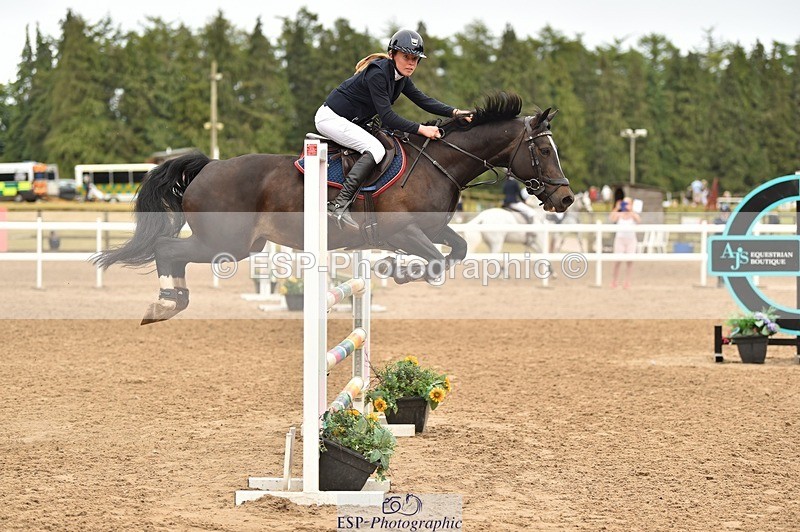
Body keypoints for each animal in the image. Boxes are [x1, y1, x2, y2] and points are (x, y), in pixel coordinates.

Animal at [93, 91, 575, 324]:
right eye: (543, 151)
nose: (565, 198)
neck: (438, 163)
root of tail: (209, 165)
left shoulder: (433, 229)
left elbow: (455, 251)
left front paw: (397, 271)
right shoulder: (402, 232)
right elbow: (436, 259)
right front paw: (394, 270)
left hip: (238, 246)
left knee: (172, 254)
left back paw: (170, 302)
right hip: (225, 244)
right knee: (167, 250)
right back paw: (164, 304)